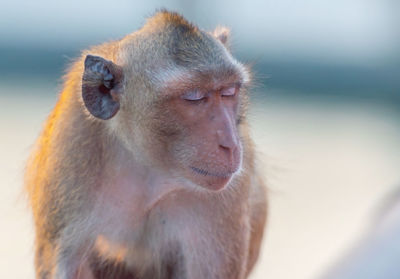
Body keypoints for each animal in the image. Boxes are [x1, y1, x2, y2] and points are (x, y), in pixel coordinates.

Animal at [25, 9, 268, 279]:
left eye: (228, 92)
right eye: (194, 97)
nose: (230, 145)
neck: (149, 168)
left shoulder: (223, 200)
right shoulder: (73, 143)